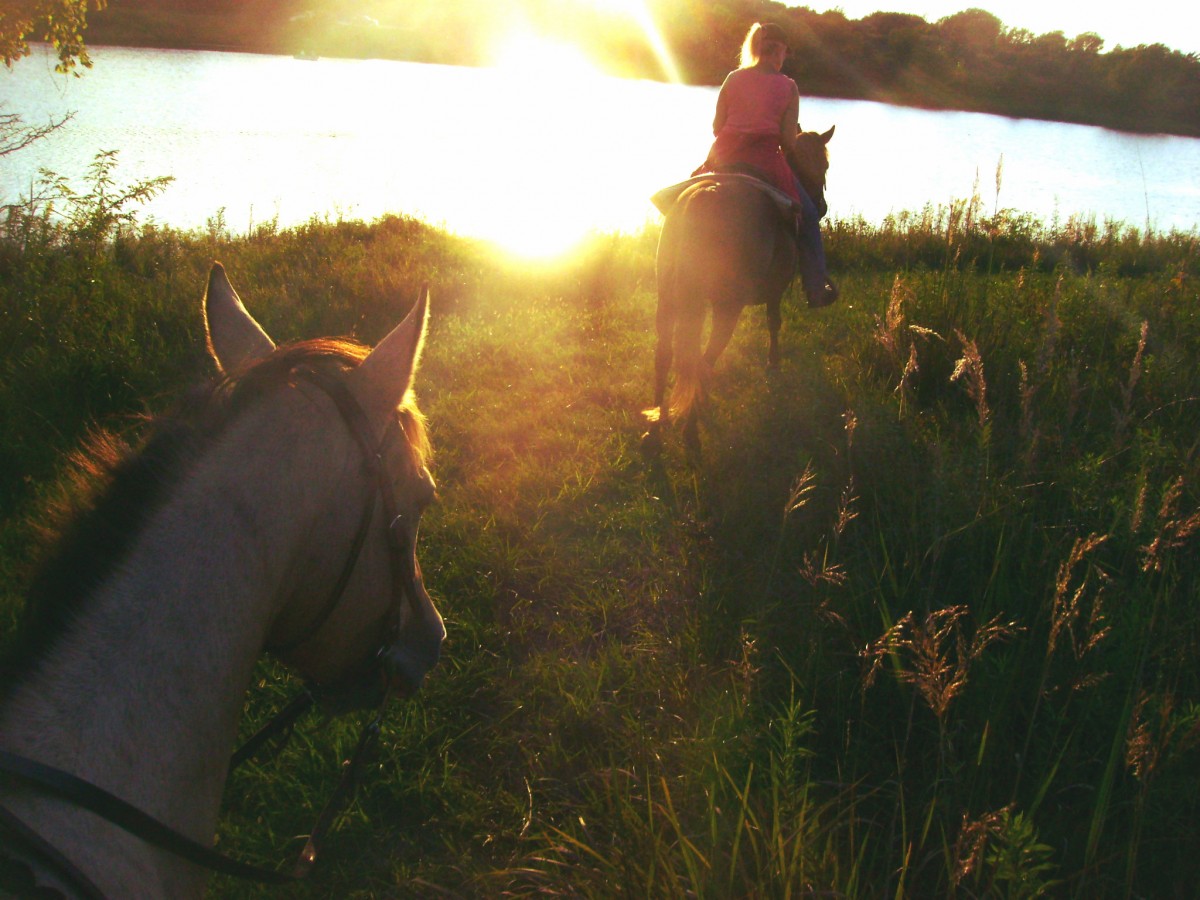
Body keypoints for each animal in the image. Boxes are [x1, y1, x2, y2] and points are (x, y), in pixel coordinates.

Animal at [648, 125, 835, 448]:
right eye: (824, 165)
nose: (821, 207)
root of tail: (707, 195)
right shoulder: (776, 289)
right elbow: (774, 322)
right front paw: (773, 364)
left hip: (668, 299)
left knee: (665, 357)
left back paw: (656, 426)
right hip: (727, 306)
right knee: (703, 362)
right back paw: (691, 430)